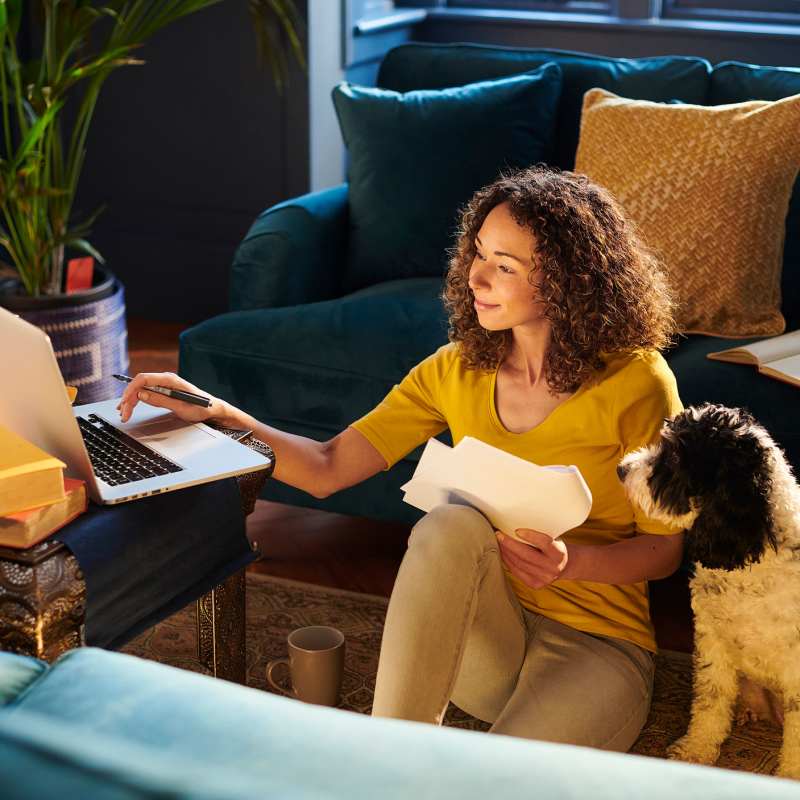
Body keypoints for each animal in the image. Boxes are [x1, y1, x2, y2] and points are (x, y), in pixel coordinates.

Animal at [620, 404, 800, 780]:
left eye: (675, 458)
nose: (621, 469)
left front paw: (790, 777)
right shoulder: (713, 640)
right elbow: (710, 701)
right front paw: (696, 750)